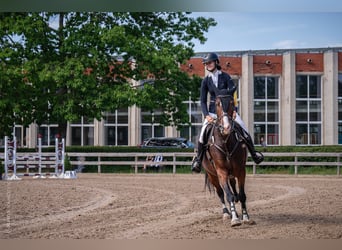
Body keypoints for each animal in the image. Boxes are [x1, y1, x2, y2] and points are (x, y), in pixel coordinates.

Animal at [202, 89, 255, 227]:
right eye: (217, 104)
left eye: (232, 102)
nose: (226, 128)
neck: (225, 141)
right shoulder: (221, 172)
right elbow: (228, 195)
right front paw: (235, 219)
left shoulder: (241, 170)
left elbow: (242, 195)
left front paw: (245, 217)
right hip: (213, 175)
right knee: (221, 192)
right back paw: (226, 213)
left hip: (232, 172)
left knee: (233, 187)